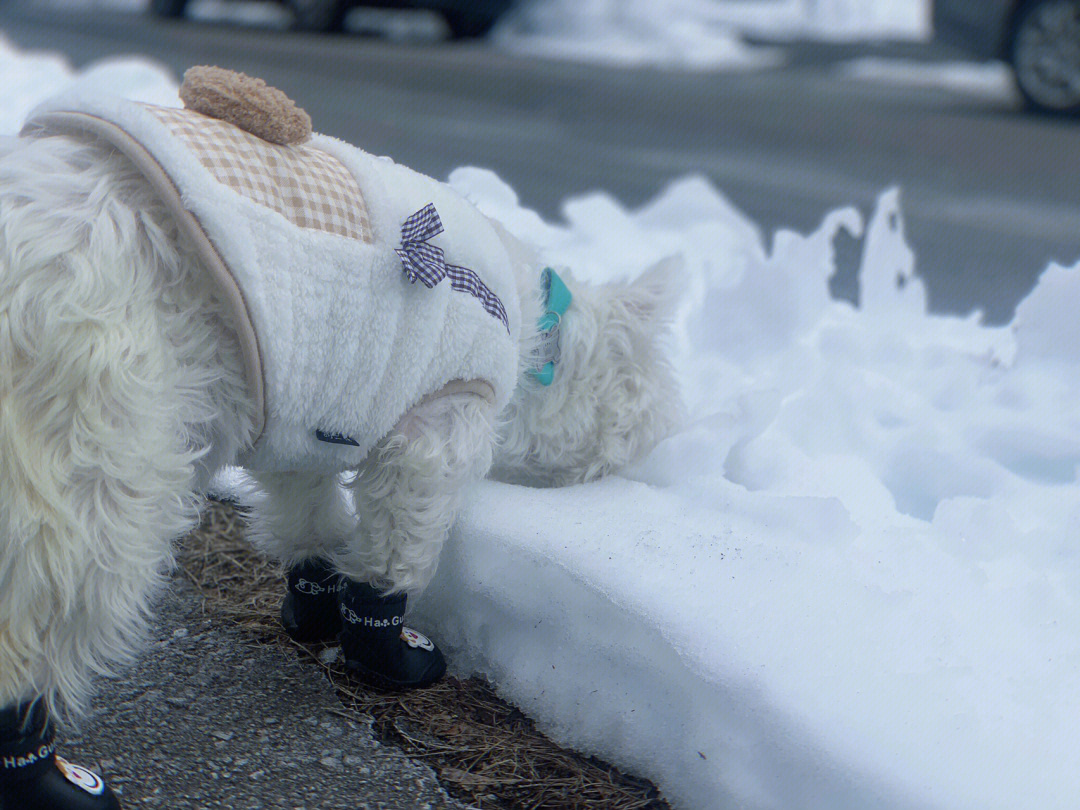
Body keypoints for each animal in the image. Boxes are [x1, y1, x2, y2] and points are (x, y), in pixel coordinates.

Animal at [0, 69, 678, 807]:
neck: (534, 334)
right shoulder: (435, 427)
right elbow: (393, 556)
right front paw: (390, 652)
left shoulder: (309, 416)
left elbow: (310, 525)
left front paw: (313, 610)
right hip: (94, 473)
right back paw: (51, 779)